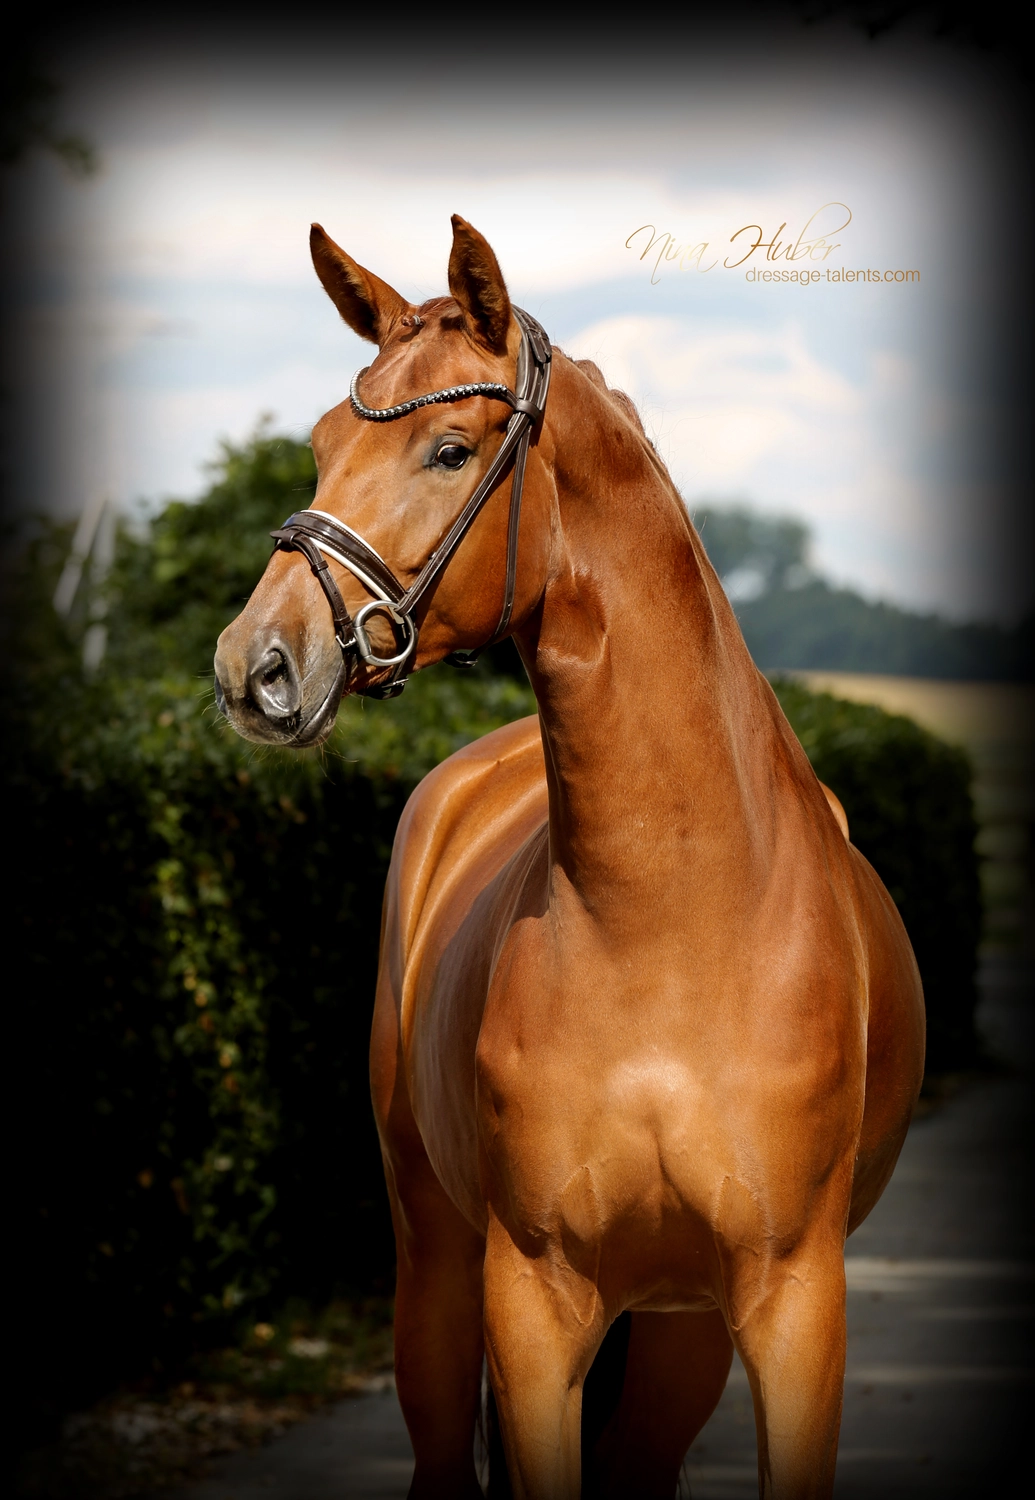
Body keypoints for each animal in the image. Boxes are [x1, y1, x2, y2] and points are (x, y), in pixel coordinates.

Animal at [214, 215, 925, 1500]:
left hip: (680, 1337)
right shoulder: (536, 1304)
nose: (258, 665)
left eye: (450, 450)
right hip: (438, 1270)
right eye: (322, 444)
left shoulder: (793, 1307)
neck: (672, 919)